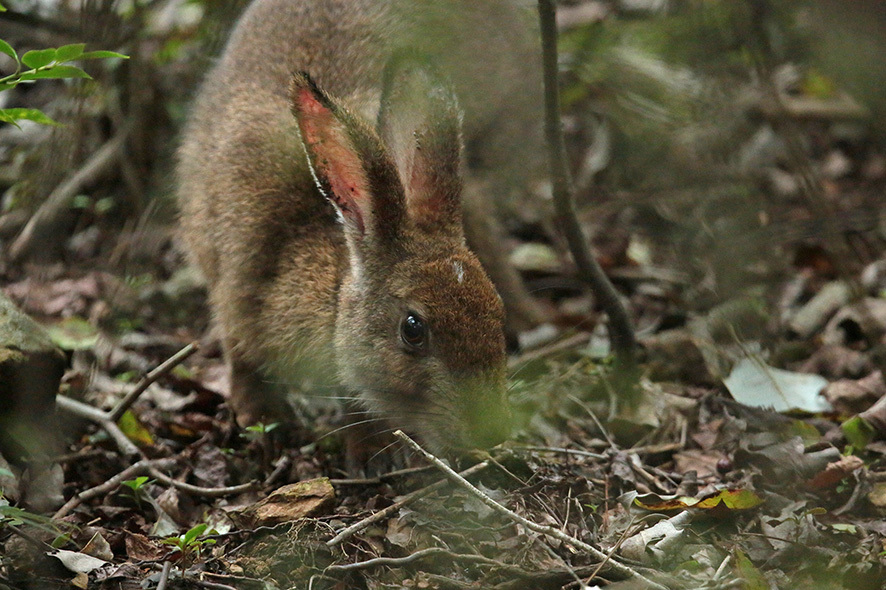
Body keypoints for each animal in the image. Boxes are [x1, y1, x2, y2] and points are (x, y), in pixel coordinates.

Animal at [178, 0, 544, 454]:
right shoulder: (236, 285)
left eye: (495, 310)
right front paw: (259, 422)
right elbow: (242, 359)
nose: (491, 431)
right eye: (412, 329)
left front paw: (368, 447)